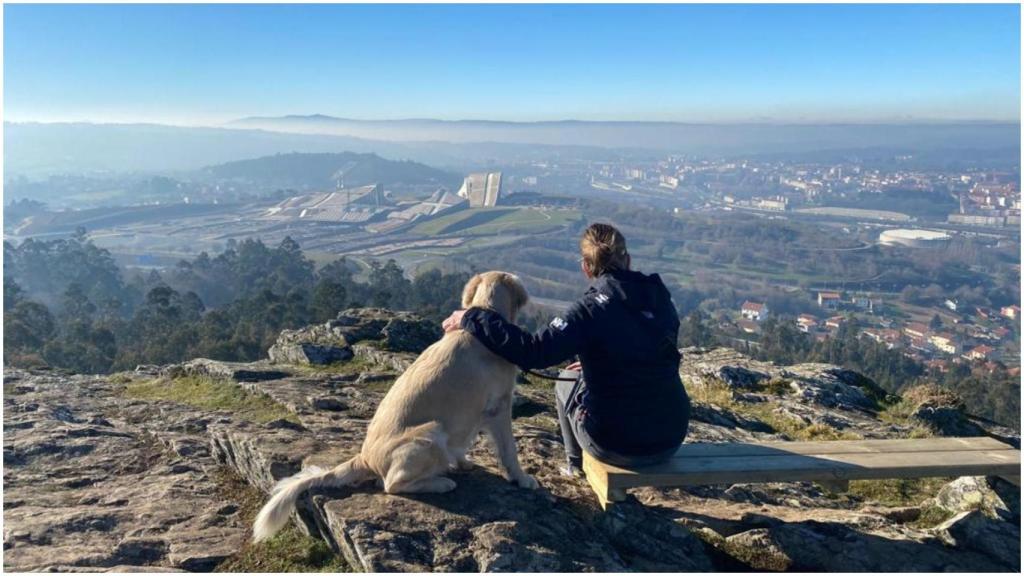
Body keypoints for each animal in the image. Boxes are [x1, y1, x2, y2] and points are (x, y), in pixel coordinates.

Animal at [252, 270, 540, 541]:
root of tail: (364, 458)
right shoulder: (500, 406)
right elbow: (509, 450)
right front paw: (521, 478)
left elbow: (465, 442)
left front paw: (463, 461)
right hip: (430, 434)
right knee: (392, 485)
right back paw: (440, 482)